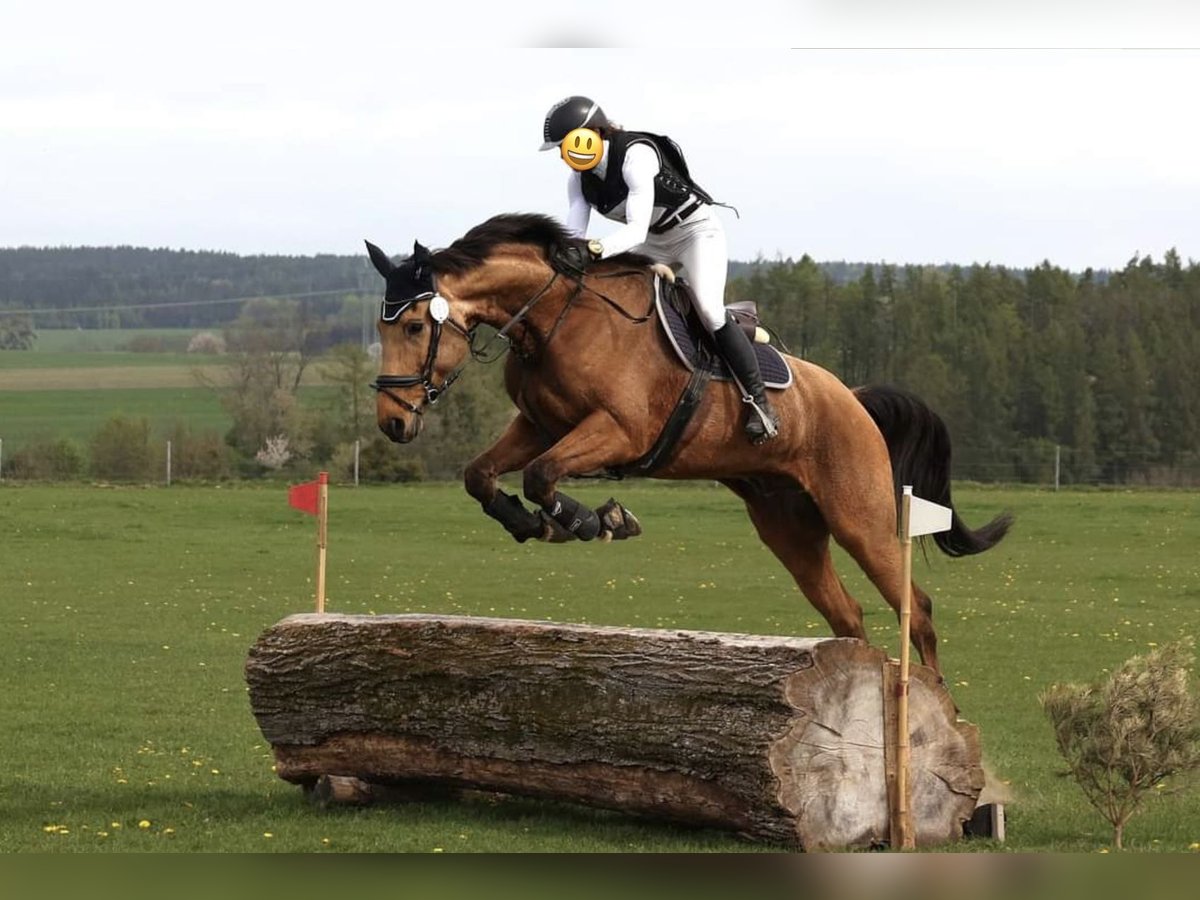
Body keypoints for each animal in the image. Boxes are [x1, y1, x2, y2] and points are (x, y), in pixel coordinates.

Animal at [364, 213, 1012, 676]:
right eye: (380, 328)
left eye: (415, 327)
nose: (392, 422)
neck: (555, 317)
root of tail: (852, 398)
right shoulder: (538, 426)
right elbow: (483, 474)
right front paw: (534, 524)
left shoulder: (618, 430)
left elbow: (542, 476)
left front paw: (597, 520)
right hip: (787, 527)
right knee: (847, 614)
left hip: (860, 517)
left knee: (916, 609)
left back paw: (938, 712)